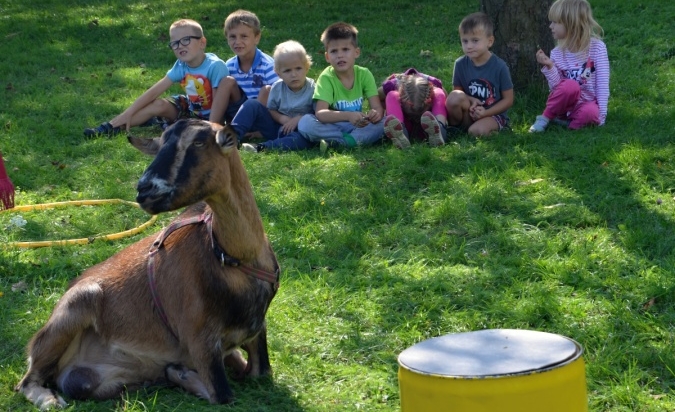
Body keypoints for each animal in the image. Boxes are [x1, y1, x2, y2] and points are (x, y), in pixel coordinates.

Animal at [15, 119, 280, 408]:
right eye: (161, 143)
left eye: (199, 142)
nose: (145, 189)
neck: (235, 260)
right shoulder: (200, 339)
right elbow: (223, 395)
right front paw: (181, 372)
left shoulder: (256, 331)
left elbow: (260, 373)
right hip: (77, 303)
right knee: (26, 382)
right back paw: (50, 400)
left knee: (81, 384)